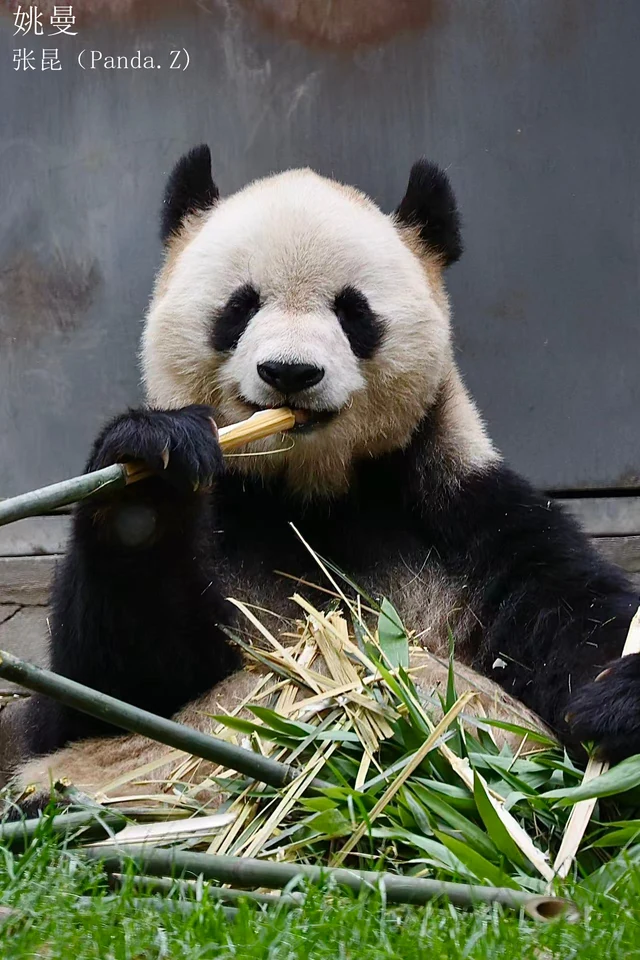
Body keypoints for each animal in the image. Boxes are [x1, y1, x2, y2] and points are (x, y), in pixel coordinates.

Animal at [10, 144, 640, 801]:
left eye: (353, 311)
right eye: (240, 306)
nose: (289, 372)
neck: (306, 489)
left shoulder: (463, 516)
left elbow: (576, 618)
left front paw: (616, 700)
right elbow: (109, 692)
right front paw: (154, 468)